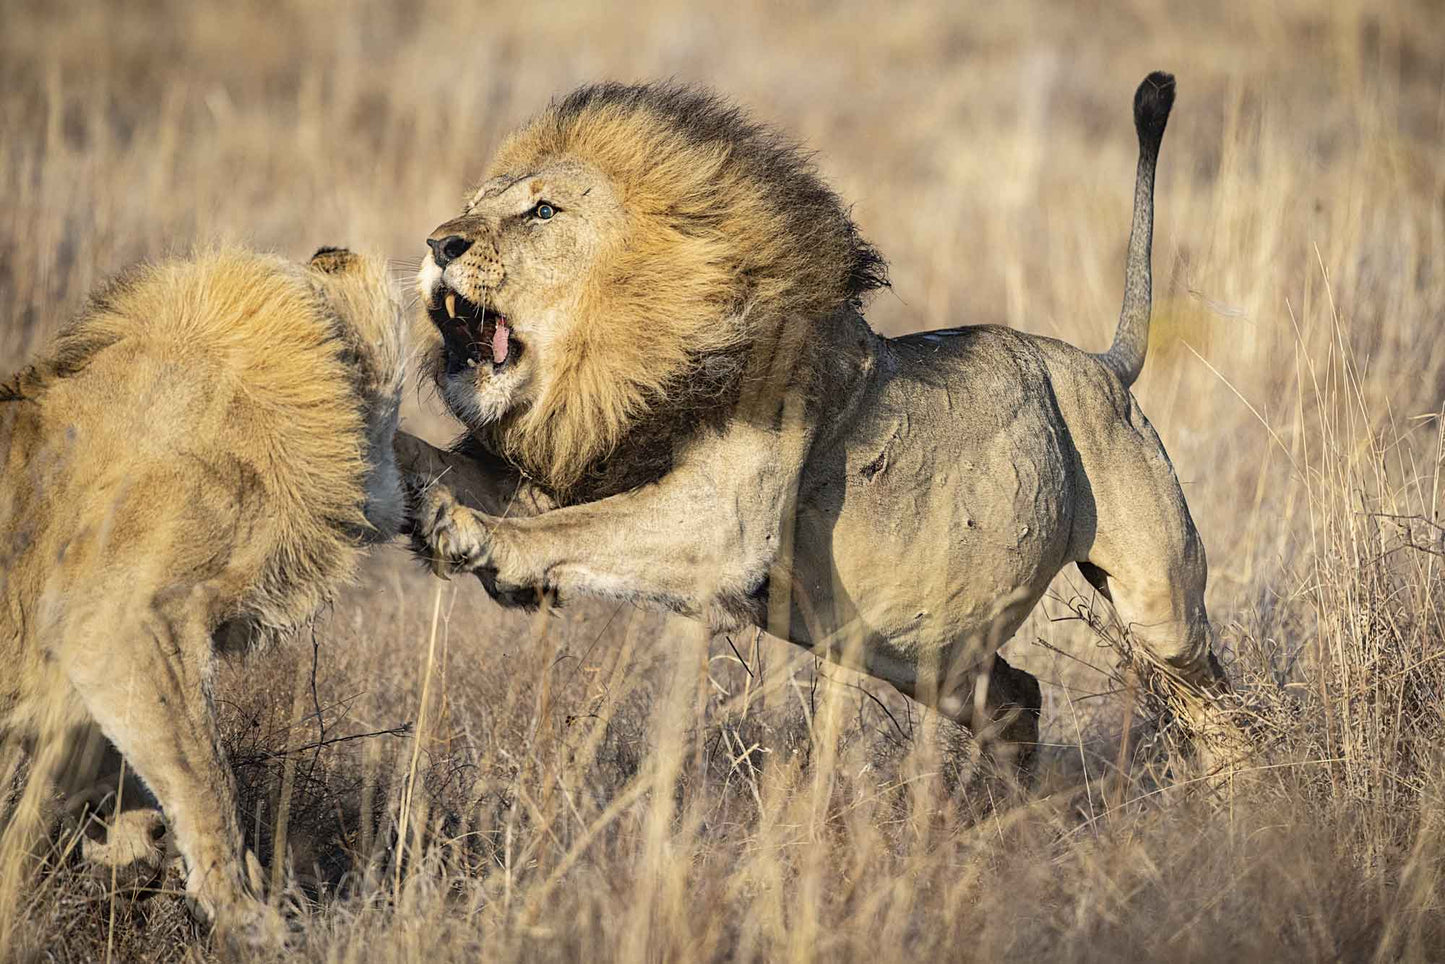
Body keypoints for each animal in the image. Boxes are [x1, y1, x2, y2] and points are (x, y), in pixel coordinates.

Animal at [401, 71, 1236, 774]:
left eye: (542, 212)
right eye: (475, 204)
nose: (438, 242)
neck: (619, 356)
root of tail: (1102, 363)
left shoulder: (721, 520)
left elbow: (571, 532)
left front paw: (472, 537)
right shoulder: (566, 468)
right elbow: (445, 467)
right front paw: (396, 474)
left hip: (1159, 603)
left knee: (1214, 696)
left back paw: (1235, 796)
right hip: (918, 655)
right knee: (1018, 696)